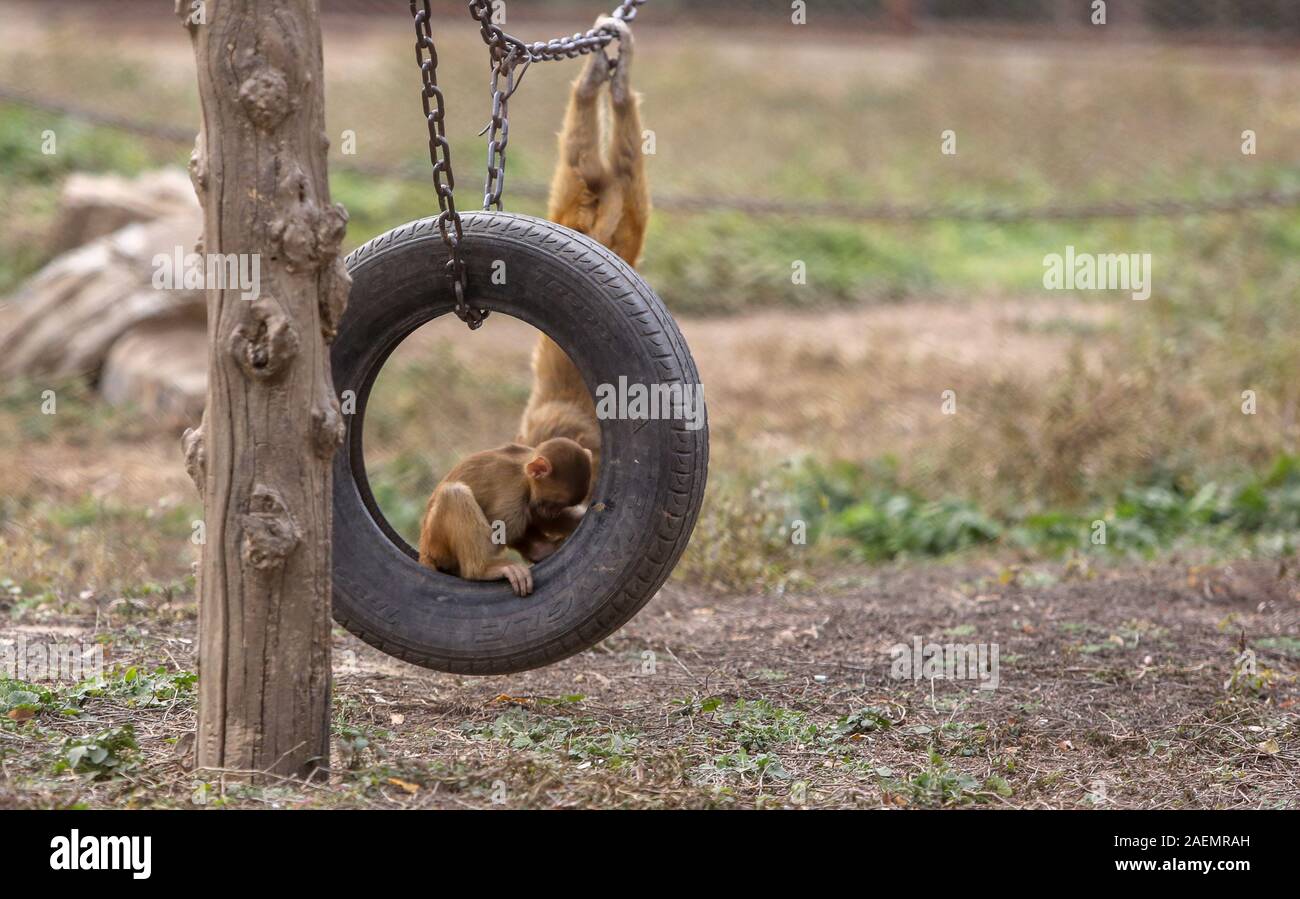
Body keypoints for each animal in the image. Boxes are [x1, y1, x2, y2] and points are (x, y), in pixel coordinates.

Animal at [418, 436, 592, 597]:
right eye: (554, 504)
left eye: (561, 506)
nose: (553, 512)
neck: (524, 471)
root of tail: (425, 549)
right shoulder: (512, 493)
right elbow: (503, 533)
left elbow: (536, 517)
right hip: (437, 543)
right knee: (453, 493)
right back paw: (481, 571)